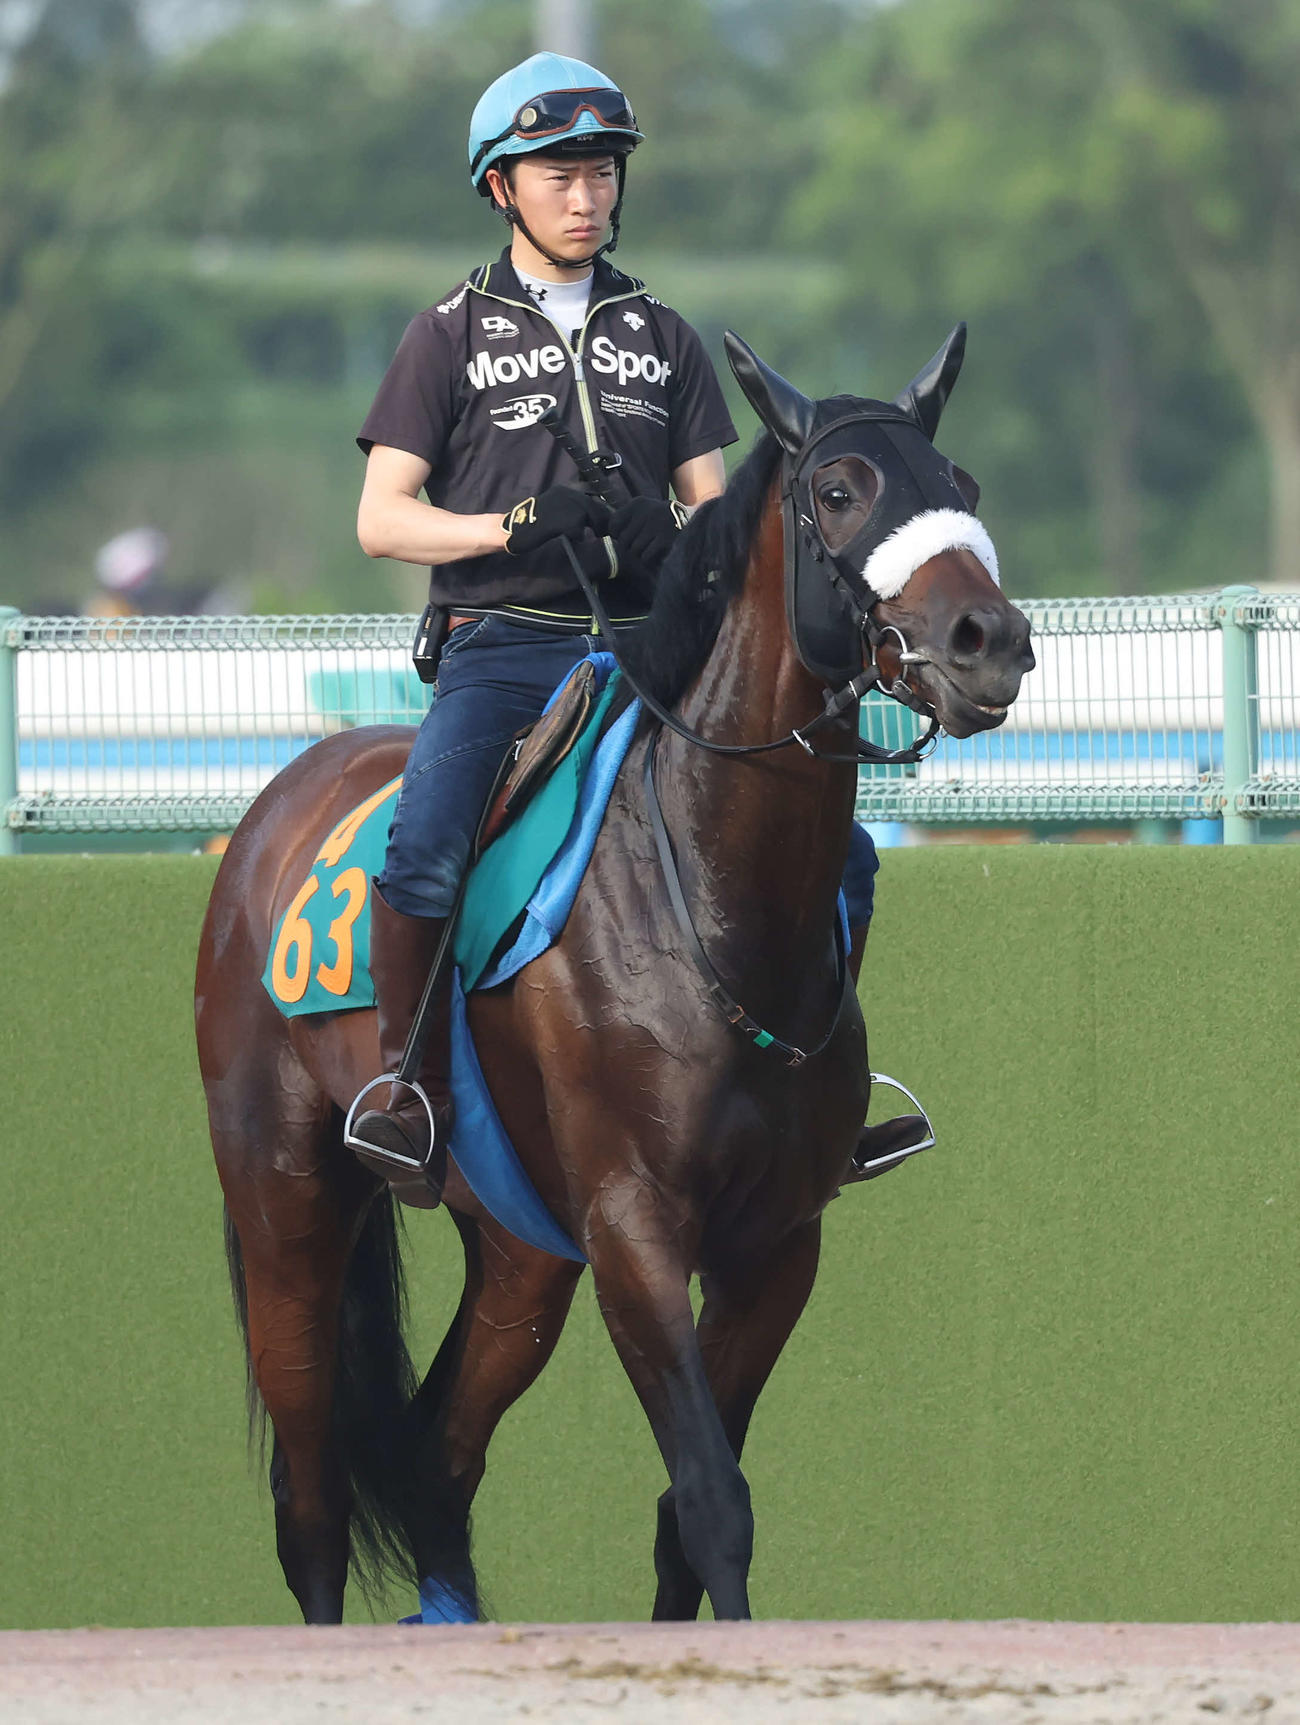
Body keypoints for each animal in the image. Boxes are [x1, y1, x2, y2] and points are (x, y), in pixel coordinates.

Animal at [195, 325, 1034, 1626]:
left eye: (966, 487)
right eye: (839, 492)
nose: (986, 643)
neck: (706, 897)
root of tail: (278, 804)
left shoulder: (773, 1244)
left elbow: (688, 1518)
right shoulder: (636, 1225)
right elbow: (711, 1498)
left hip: (521, 1248)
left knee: (438, 1455)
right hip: (285, 1200)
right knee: (312, 1497)